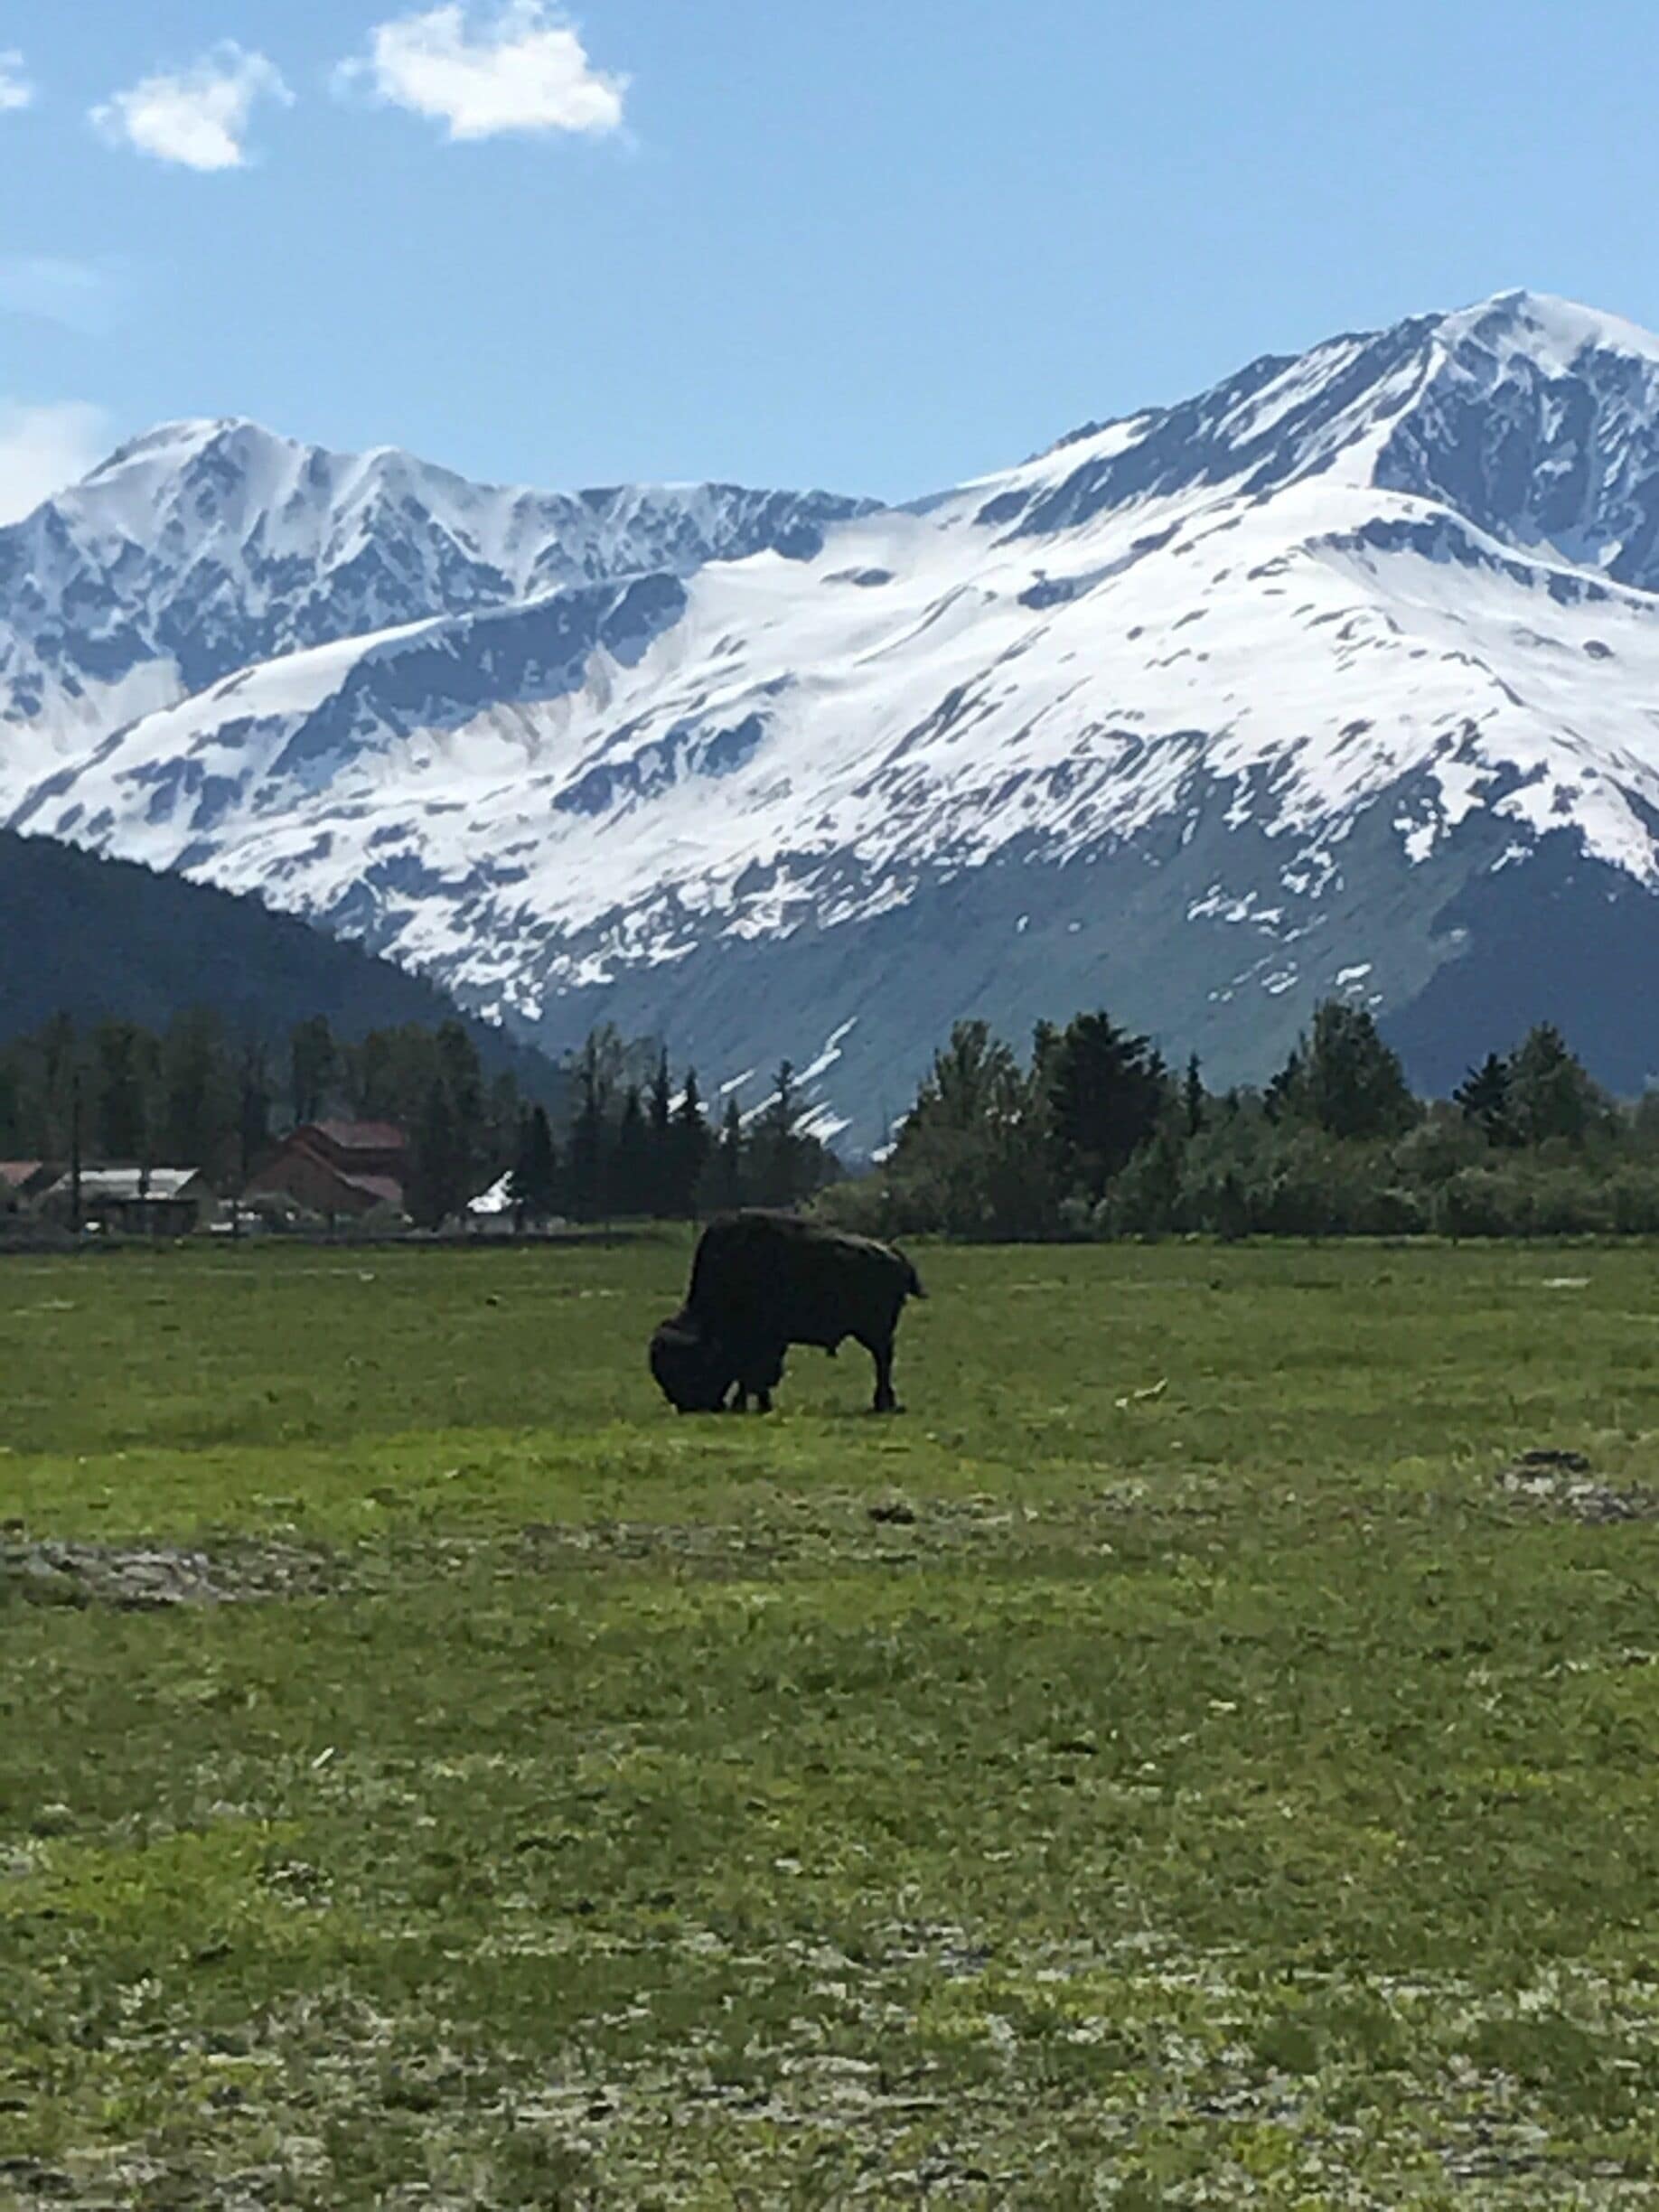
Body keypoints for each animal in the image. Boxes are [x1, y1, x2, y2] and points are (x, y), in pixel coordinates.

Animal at [650, 1209, 925, 1415]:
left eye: (691, 1369)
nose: (689, 1407)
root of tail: (894, 1255)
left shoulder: (763, 1343)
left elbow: (753, 1375)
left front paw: (749, 1405)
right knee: (883, 1360)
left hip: (873, 1331)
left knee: (883, 1360)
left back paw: (882, 1404)